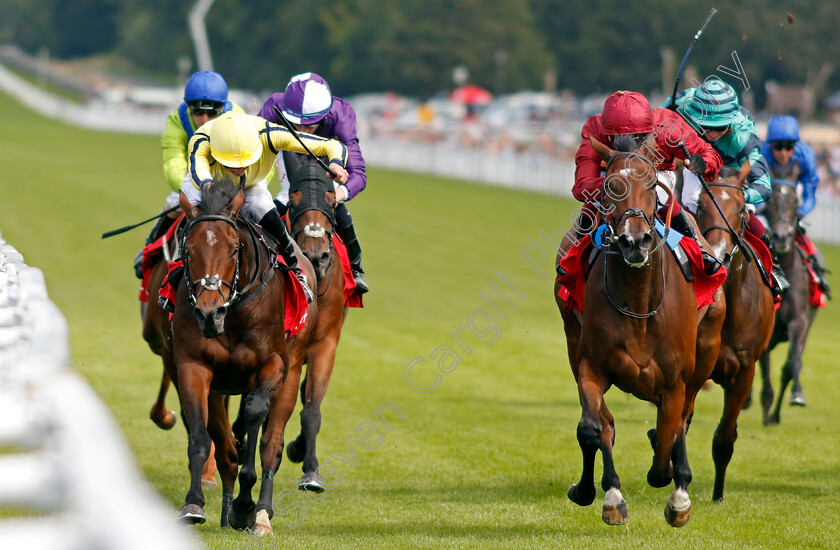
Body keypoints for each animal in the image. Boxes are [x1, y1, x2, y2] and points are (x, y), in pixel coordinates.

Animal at [143, 179, 316, 536]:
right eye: (188, 251)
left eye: (234, 249)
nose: (210, 312)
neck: (234, 316)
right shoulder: (194, 368)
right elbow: (201, 435)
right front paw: (195, 505)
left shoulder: (274, 364)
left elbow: (254, 416)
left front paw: (245, 506)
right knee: (222, 445)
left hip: (293, 372)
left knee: (271, 445)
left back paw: (261, 515)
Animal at [556, 135, 724, 532]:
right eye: (609, 186)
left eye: (651, 186)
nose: (635, 242)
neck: (637, 302)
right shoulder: (590, 365)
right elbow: (593, 428)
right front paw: (605, 495)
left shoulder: (675, 381)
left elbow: (666, 443)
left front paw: (678, 498)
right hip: (571, 337)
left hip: (706, 352)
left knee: (682, 421)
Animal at [756, 183, 820, 424]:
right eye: (771, 202)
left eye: (794, 201)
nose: (782, 236)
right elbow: (764, 365)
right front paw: (765, 403)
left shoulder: (799, 322)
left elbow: (792, 364)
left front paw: (795, 397)